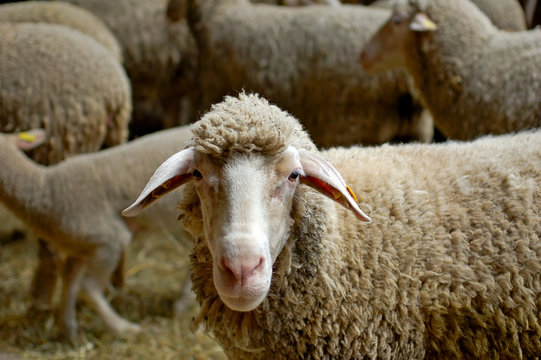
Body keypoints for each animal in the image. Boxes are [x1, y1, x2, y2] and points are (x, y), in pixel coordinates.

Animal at [0, 126, 193, 344]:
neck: (45, 189)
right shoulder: (79, 249)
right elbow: (69, 282)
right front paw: (68, 330)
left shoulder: (109, 240)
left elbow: (88, 288)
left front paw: (123, 329)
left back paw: (181, 304)